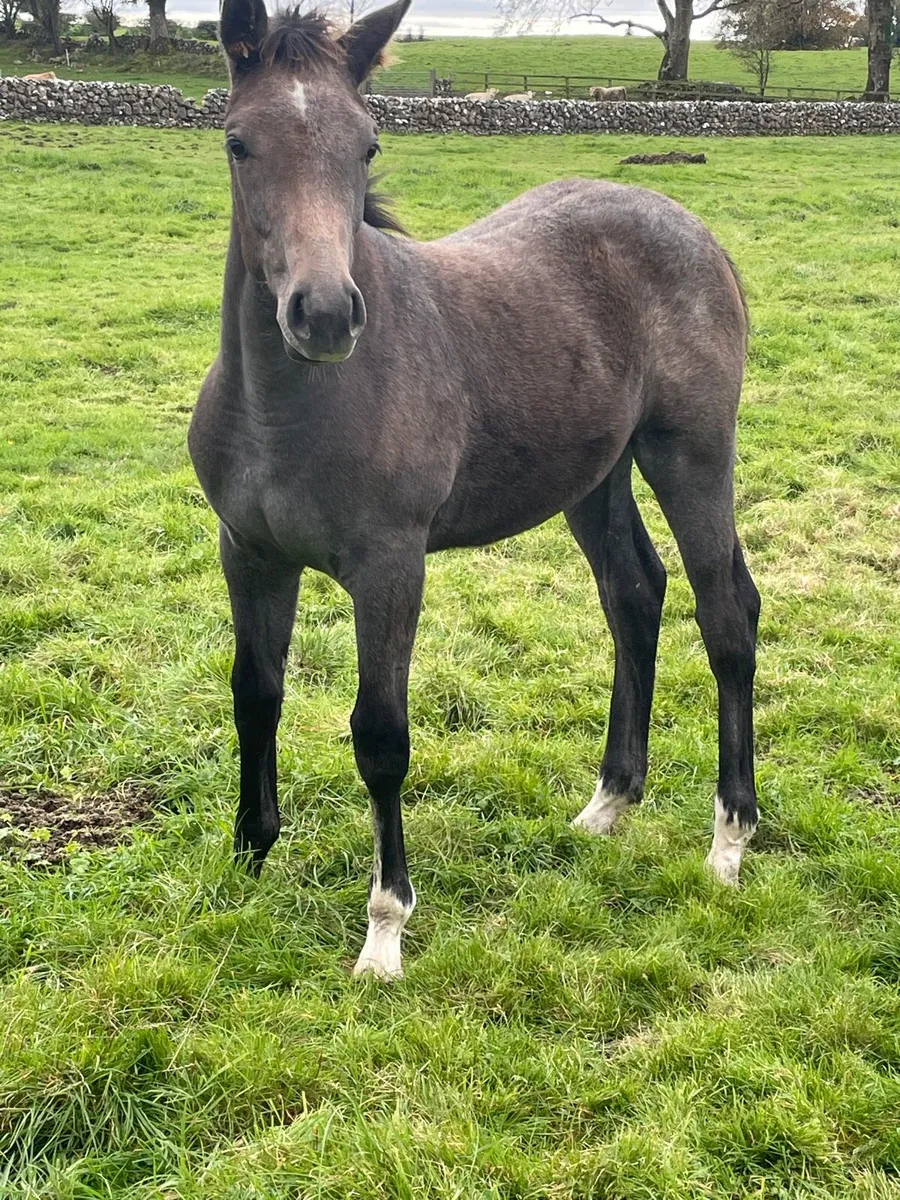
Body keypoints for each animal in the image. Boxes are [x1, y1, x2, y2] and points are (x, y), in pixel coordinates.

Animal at [189, 0, 761, 980]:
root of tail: (692, 228)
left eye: (367, 145)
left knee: (725, 617)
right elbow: (255, 692)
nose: (324, 314)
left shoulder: (390, 568)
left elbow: (381, 736)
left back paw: (728, 839)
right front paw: (249, 854)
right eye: (238, 142)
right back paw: (609, 803)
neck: (282, 407)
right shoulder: (249, 552)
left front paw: (385, 930)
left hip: (690, 454)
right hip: (595, 475)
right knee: (635, 594)